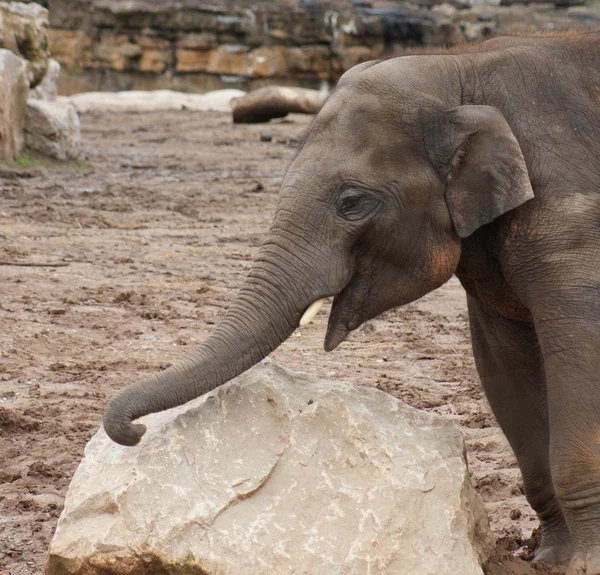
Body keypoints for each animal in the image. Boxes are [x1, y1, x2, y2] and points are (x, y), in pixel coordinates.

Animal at [105, 32, 600, 575]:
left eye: (352, 202)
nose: (133, 431)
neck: (460, 67)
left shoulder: (572, 221)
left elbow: (579, 352)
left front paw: (585, 563)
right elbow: (506, 364)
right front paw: (551, 560)